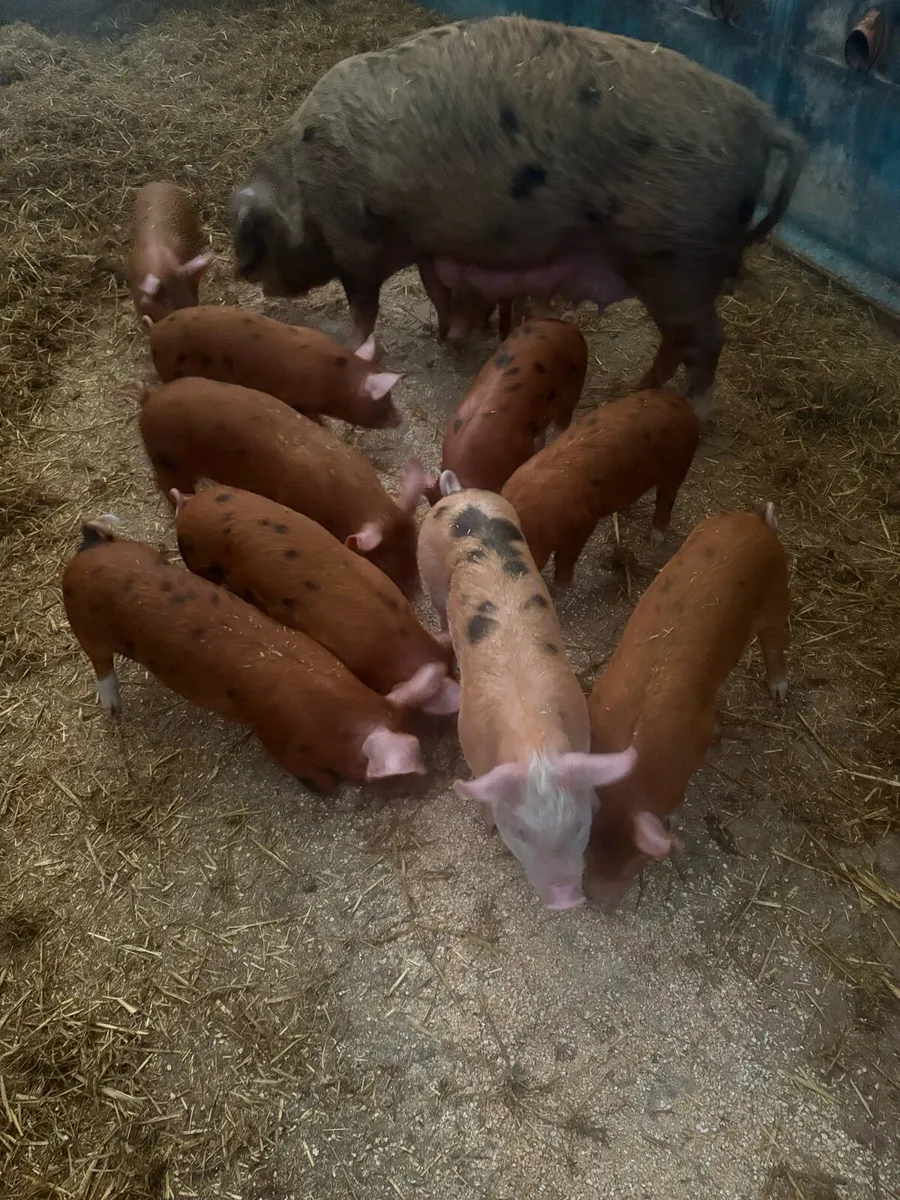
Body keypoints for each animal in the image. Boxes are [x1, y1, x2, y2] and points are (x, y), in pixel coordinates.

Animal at [61, 519, 427, 790]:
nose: (425, 778)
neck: (335, 707)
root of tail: (92, 547)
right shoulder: (279, 742)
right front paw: (325, 788)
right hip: (83, 622)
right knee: (100, 664)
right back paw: (113, 708)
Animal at [230, 14, 804, 416]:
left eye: (255, 239)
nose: (250, 276)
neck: (305, 189)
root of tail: (764, 123)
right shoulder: (431, 245)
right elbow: (439, 291)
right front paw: (449, 336)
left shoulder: (359, 247)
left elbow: (363, 310)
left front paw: (358, 348)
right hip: (675, 272)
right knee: (678, 342)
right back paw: (631, 391)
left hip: (677, 262)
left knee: (705, 343)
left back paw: (691, 411)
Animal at [417, 471, 637, 910]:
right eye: (518, 833)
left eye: (579, 825)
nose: (565, 900)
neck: (533, 740)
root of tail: (457, 494)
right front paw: (487, 823)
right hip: (427, 565)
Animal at [502, 389, 700, 587]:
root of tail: (679, 401)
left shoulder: (584, 523)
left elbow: (567, 556)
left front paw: (561, 584)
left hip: (679, 464)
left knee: (666, 498)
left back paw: (655, 541)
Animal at [585, 503, 790, 904]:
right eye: (586, 847)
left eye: (631, 864)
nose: (594, 898)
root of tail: (757, 523)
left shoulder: (700, 733)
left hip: (778, 592)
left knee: (776, 643)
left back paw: (779, 693)